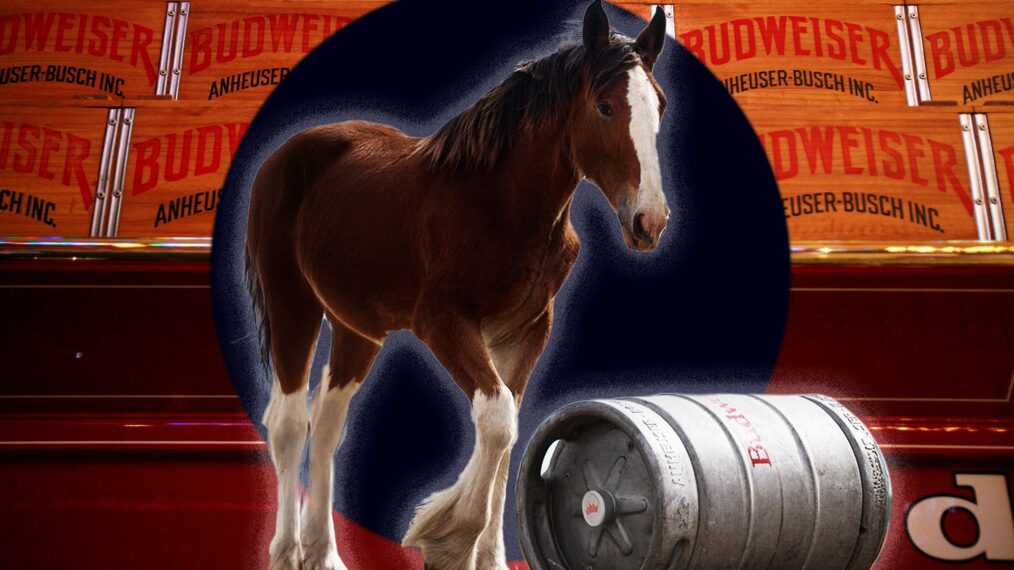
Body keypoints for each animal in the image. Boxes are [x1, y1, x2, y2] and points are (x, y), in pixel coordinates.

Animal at [247, 2, 665, 563]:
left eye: (659, 104)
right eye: (604, 107)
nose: (649, 220)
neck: (499, 204)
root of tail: (282, 156)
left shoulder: (525, 333)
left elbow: (510, 432)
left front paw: (484, 556)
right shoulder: (443, 323)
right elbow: (497, 417)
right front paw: (449, 536)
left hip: (357, 327)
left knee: (329, 421)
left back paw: (325, 555)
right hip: (291, 301)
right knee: (291, 423)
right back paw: (288, 551)